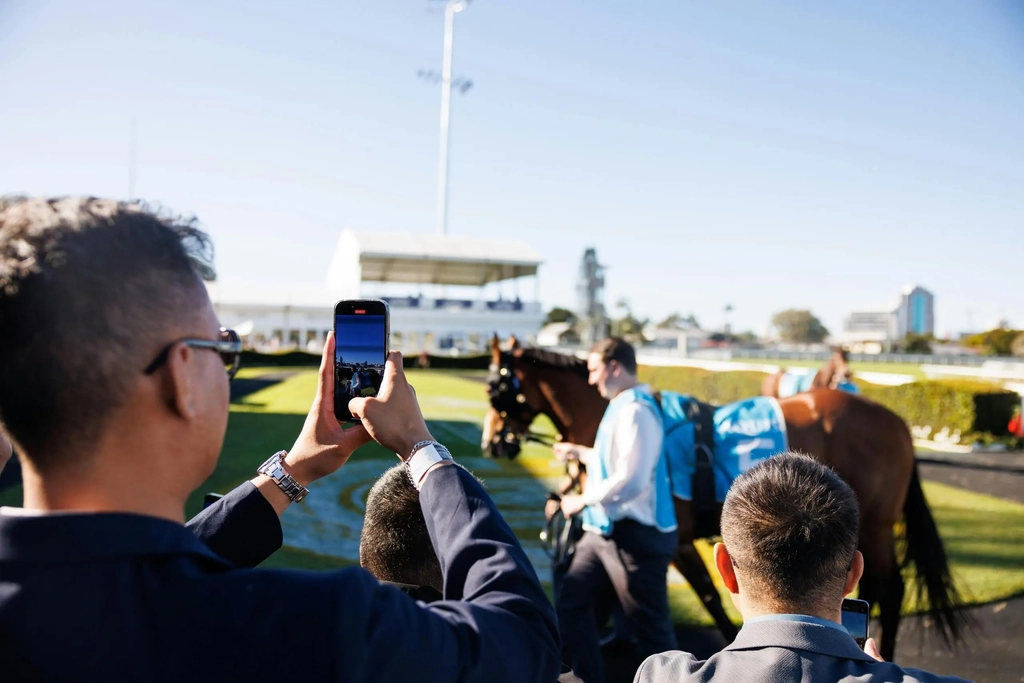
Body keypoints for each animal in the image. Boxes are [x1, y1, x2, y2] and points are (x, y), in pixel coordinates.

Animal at [481, 335, 966, 663]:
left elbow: (710, 598)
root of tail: (896, 421)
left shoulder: (676, 541)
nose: (492, 442)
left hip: (879, 525)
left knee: (892, 587)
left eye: (496, 388)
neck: (609, 412)